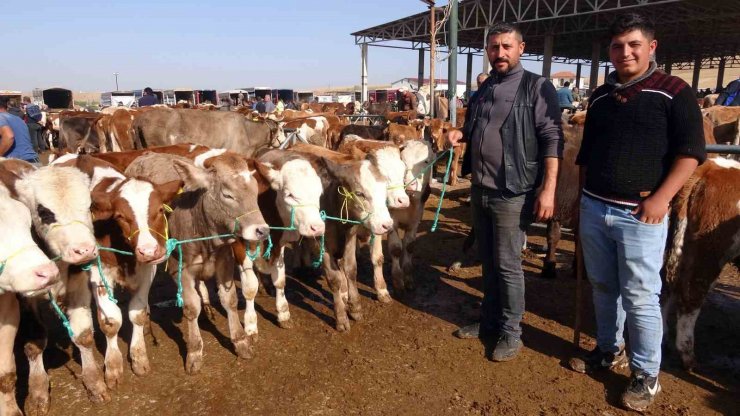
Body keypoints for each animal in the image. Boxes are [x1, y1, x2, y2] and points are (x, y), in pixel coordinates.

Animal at [52, 154, 182, 386]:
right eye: (120, 216)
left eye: (159, 210)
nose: (148, 250)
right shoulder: (98, 273)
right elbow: (111, 321)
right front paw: (112, 365)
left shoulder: (147, 271)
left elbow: (137, 313)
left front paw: (139, 357)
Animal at [123, 151, 270, 372]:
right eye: (227, 195)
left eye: (255, 191)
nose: (262, 230)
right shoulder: (180, 269)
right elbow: (191, 308)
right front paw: (194, 352)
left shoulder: (224, 261)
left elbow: (230, 300)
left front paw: (241, 342)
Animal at [290, 143, 396, 332]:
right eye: (359, 193)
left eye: (384, 189)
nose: (387, 224)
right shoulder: (323, 243)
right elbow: (333, 278)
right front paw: (341, 317)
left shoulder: (350, 236)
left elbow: (352, 268)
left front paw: (355, 307)